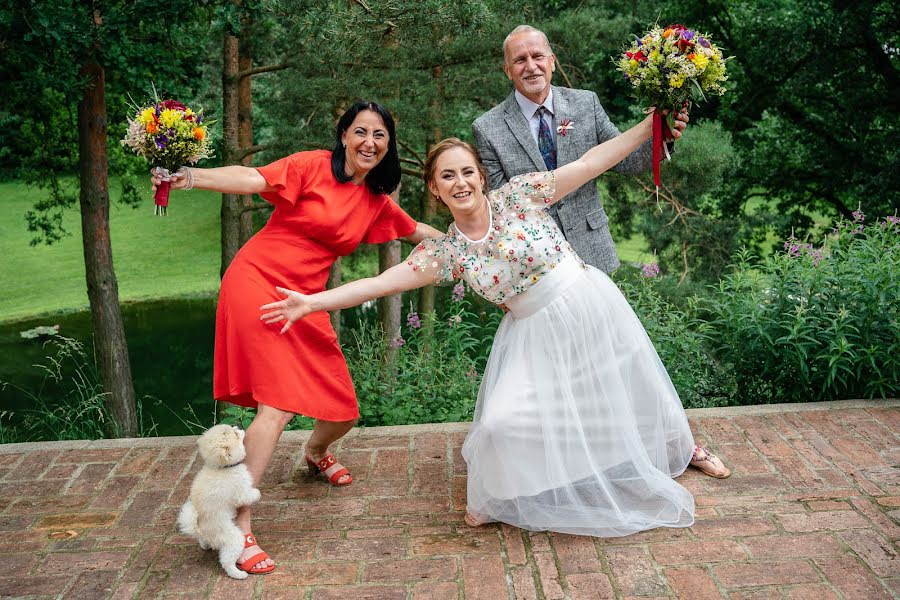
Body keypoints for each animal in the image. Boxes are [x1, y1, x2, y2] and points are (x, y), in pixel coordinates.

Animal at [176, 424, 260, 580]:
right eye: (236, 434)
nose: (239, 425)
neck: (221, 468)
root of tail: (200, 530)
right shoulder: (240, 492)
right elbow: (248, 495)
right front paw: (257, 494)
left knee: (203, 542)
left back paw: (205, 545)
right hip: (234, 538)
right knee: (226, 561)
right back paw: (238, 574)